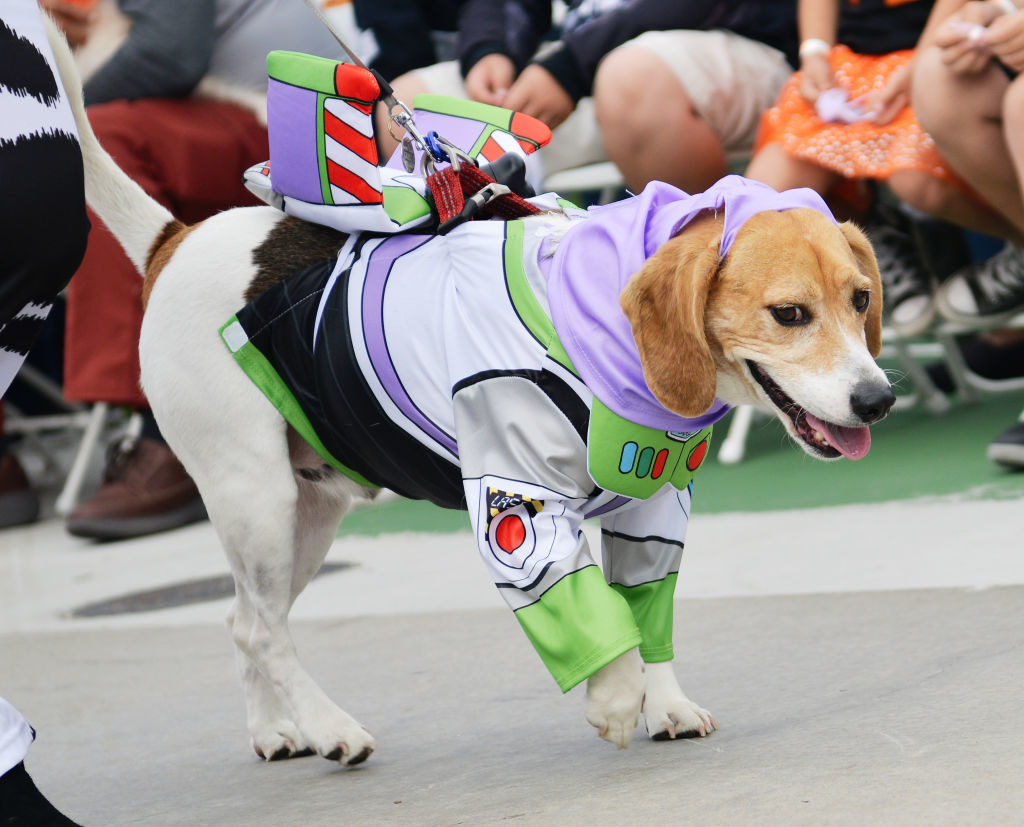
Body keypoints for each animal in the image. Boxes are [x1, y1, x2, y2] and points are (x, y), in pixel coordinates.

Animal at [51, 20, 892, 769]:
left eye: (859, 300)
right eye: (790, 313)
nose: (878, 399)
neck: (598, 323)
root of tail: (175, 239)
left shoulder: (651, 508)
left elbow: (643, 604)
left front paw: (666, 698)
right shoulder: (516, 503)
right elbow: (590, 613)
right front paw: (617, 699)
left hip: (304, 513)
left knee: (240, 620)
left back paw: (275, 729)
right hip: (256, 500)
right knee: (262, 630)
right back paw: (330, 727)